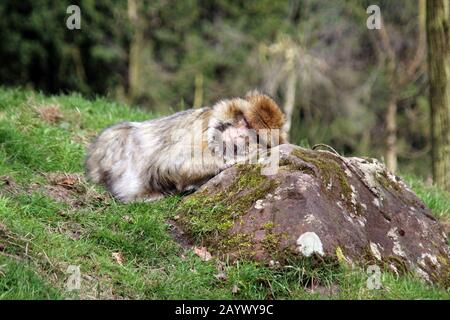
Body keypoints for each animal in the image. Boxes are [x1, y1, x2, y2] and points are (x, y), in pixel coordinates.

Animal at [86, 90, 286, 202]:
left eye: (254, 134)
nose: (240, 135)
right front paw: (231, 162)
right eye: (244, 121)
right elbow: (169, 164)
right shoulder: (198, 131)